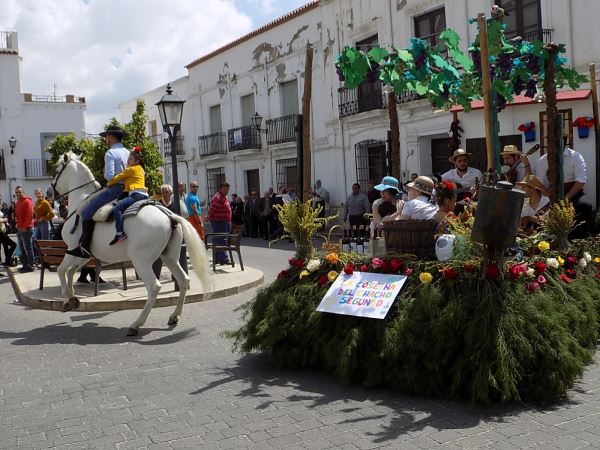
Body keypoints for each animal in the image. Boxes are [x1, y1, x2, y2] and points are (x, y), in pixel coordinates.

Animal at [50, 153, 212, 336]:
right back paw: (174, 316)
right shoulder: (82, 253)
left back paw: (136, 324)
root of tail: (169, 215)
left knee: (154, 287)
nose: (49, 192)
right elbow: (70, 271)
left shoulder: (71, 249)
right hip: (169, 258)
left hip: (141, 261)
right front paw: (72, 298)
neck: (80, 203)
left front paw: (66, 299)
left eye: (57, 169)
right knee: (184, 280)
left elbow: (61, 270)